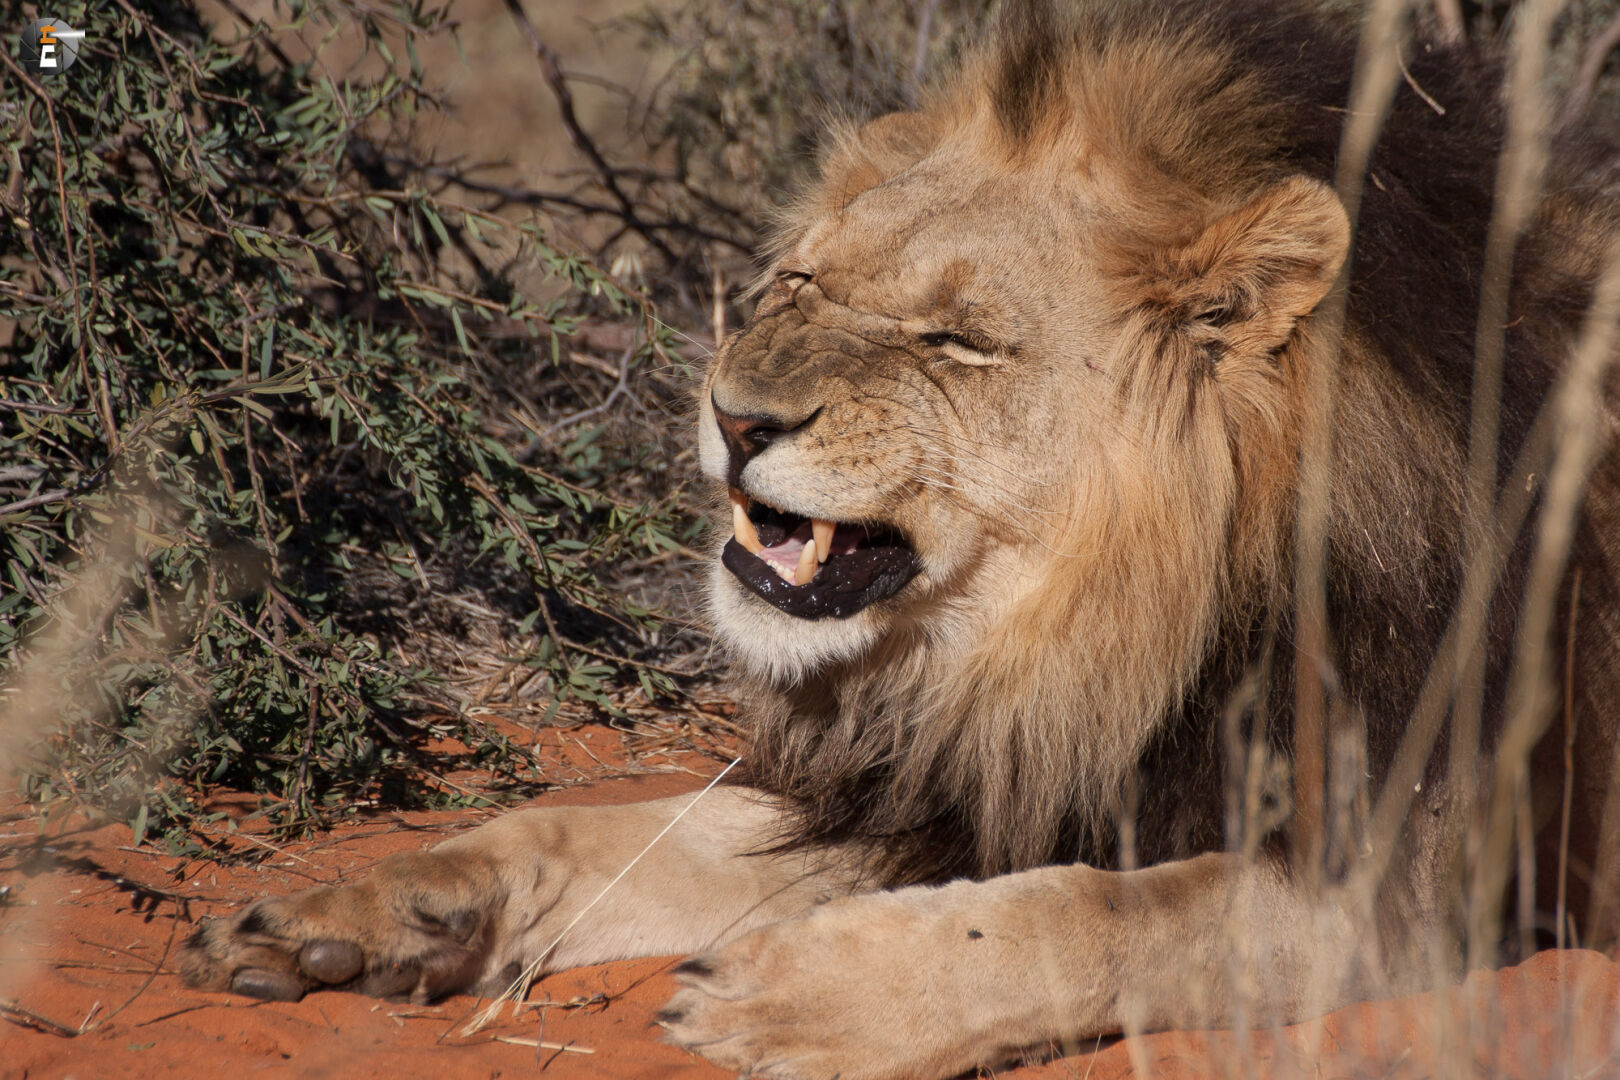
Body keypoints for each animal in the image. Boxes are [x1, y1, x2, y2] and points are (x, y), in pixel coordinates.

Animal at [180, 1, 1620, 1077]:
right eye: (802, 283)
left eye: (958, 342)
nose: (734, 414)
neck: (1107, 639)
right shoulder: (941, 783)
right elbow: (594, 832)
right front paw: (385, 908)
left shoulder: (1408, 894)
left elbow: (1098, 911)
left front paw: (793, 997)